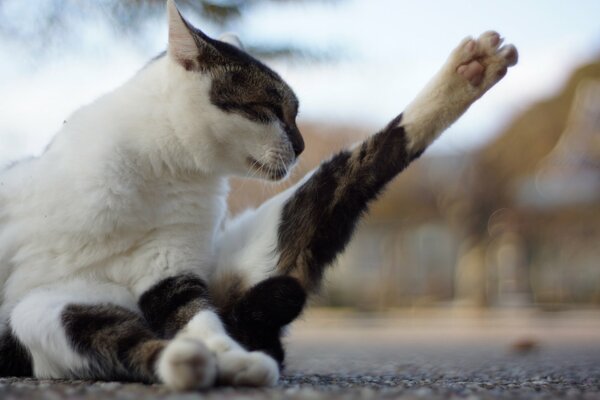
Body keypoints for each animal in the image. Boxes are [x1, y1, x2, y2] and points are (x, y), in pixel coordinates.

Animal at [0, 0, 516, 390]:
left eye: (295, 114)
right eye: (270, 109)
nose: (303, 145)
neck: (156, 172)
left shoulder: (170, 270)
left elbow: (197, 317)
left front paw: (227, 355)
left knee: (360, 164)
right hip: (43, 312)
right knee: (130, 341)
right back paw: (197, 363)